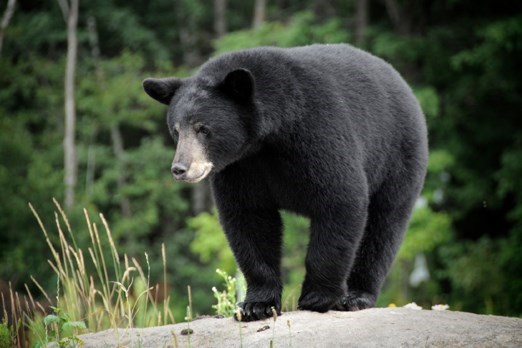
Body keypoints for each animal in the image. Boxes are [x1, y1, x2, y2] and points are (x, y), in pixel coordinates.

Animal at [143, 44, 426, 322]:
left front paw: (317, 297)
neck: (268, 138)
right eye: (176, 130)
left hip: (397, 157)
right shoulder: (241, 167)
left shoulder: (318, 132)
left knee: (383, 226)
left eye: (203, 128)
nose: (180, 169)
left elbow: (340, 199)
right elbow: (249, 219)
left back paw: (356, 296)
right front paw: (256, 305)